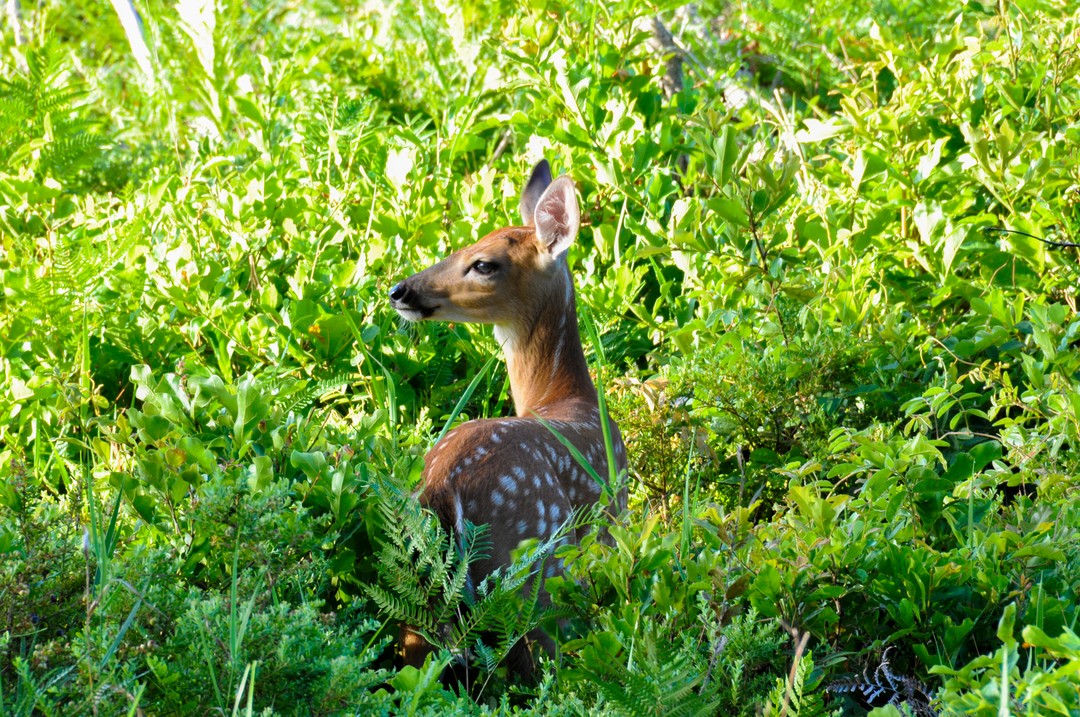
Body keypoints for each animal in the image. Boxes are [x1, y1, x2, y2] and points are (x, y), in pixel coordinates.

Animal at [388, 159, 629, 677]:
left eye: (483, 262)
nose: (399, 290)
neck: (564, 396)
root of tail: (443, 488)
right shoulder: (613, 518)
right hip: (539, 562)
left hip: (417, 589)